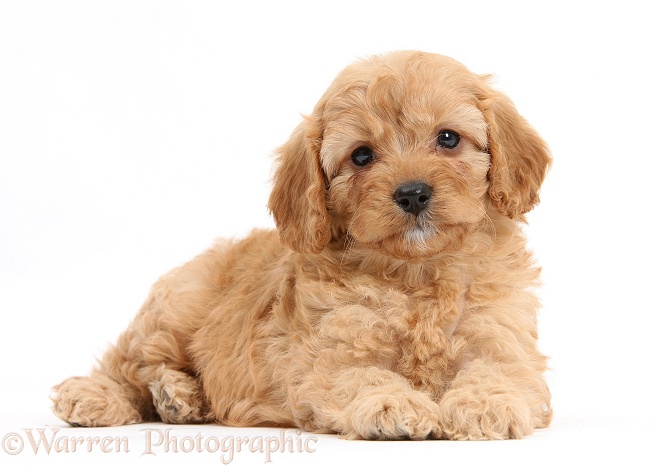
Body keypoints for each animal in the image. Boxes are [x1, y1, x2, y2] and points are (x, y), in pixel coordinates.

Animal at [53, 51, 552, 442]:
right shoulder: (328, 355)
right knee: (127, 364)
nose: (412, 194)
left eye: (448, 138)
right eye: (362, 155)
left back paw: (180, 399)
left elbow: (498, 369)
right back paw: (102, 396)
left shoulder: (501, 336)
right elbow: (360, 375)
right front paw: (392, 404)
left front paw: (487, 404)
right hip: (178, 309)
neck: (419, 272)